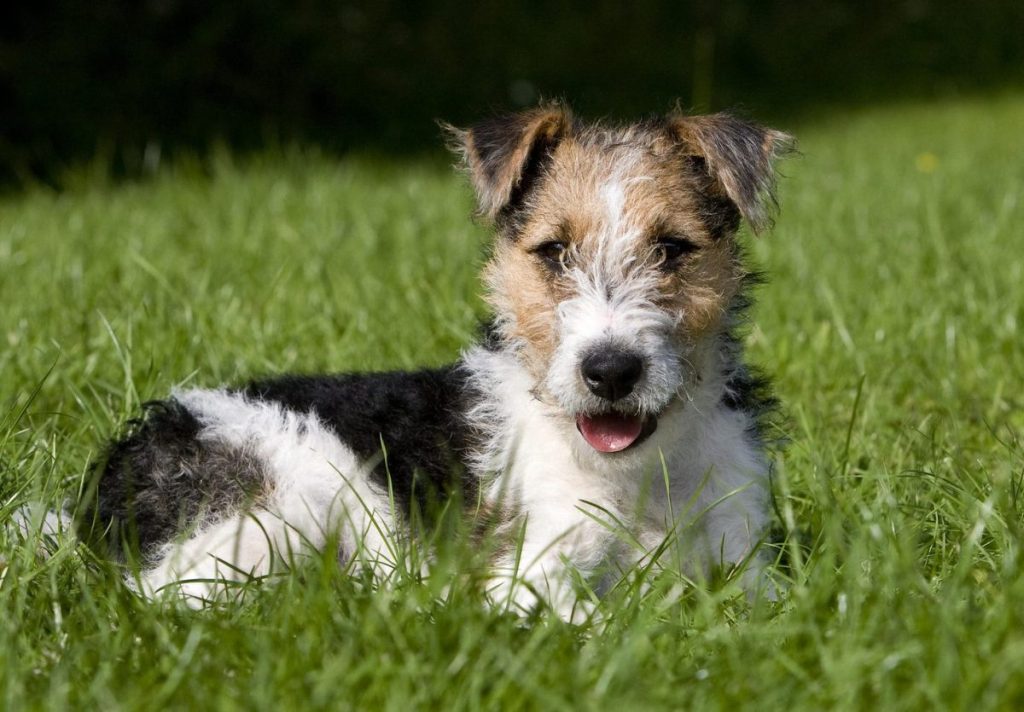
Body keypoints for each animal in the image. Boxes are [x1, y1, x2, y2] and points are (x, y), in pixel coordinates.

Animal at [83, 102, 794, 622]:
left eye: (672, 248)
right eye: (554, 251)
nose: (611, 372)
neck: (642, 472)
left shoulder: (744, 559)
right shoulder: (525, 578)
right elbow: (598, 624)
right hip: (281, 512)